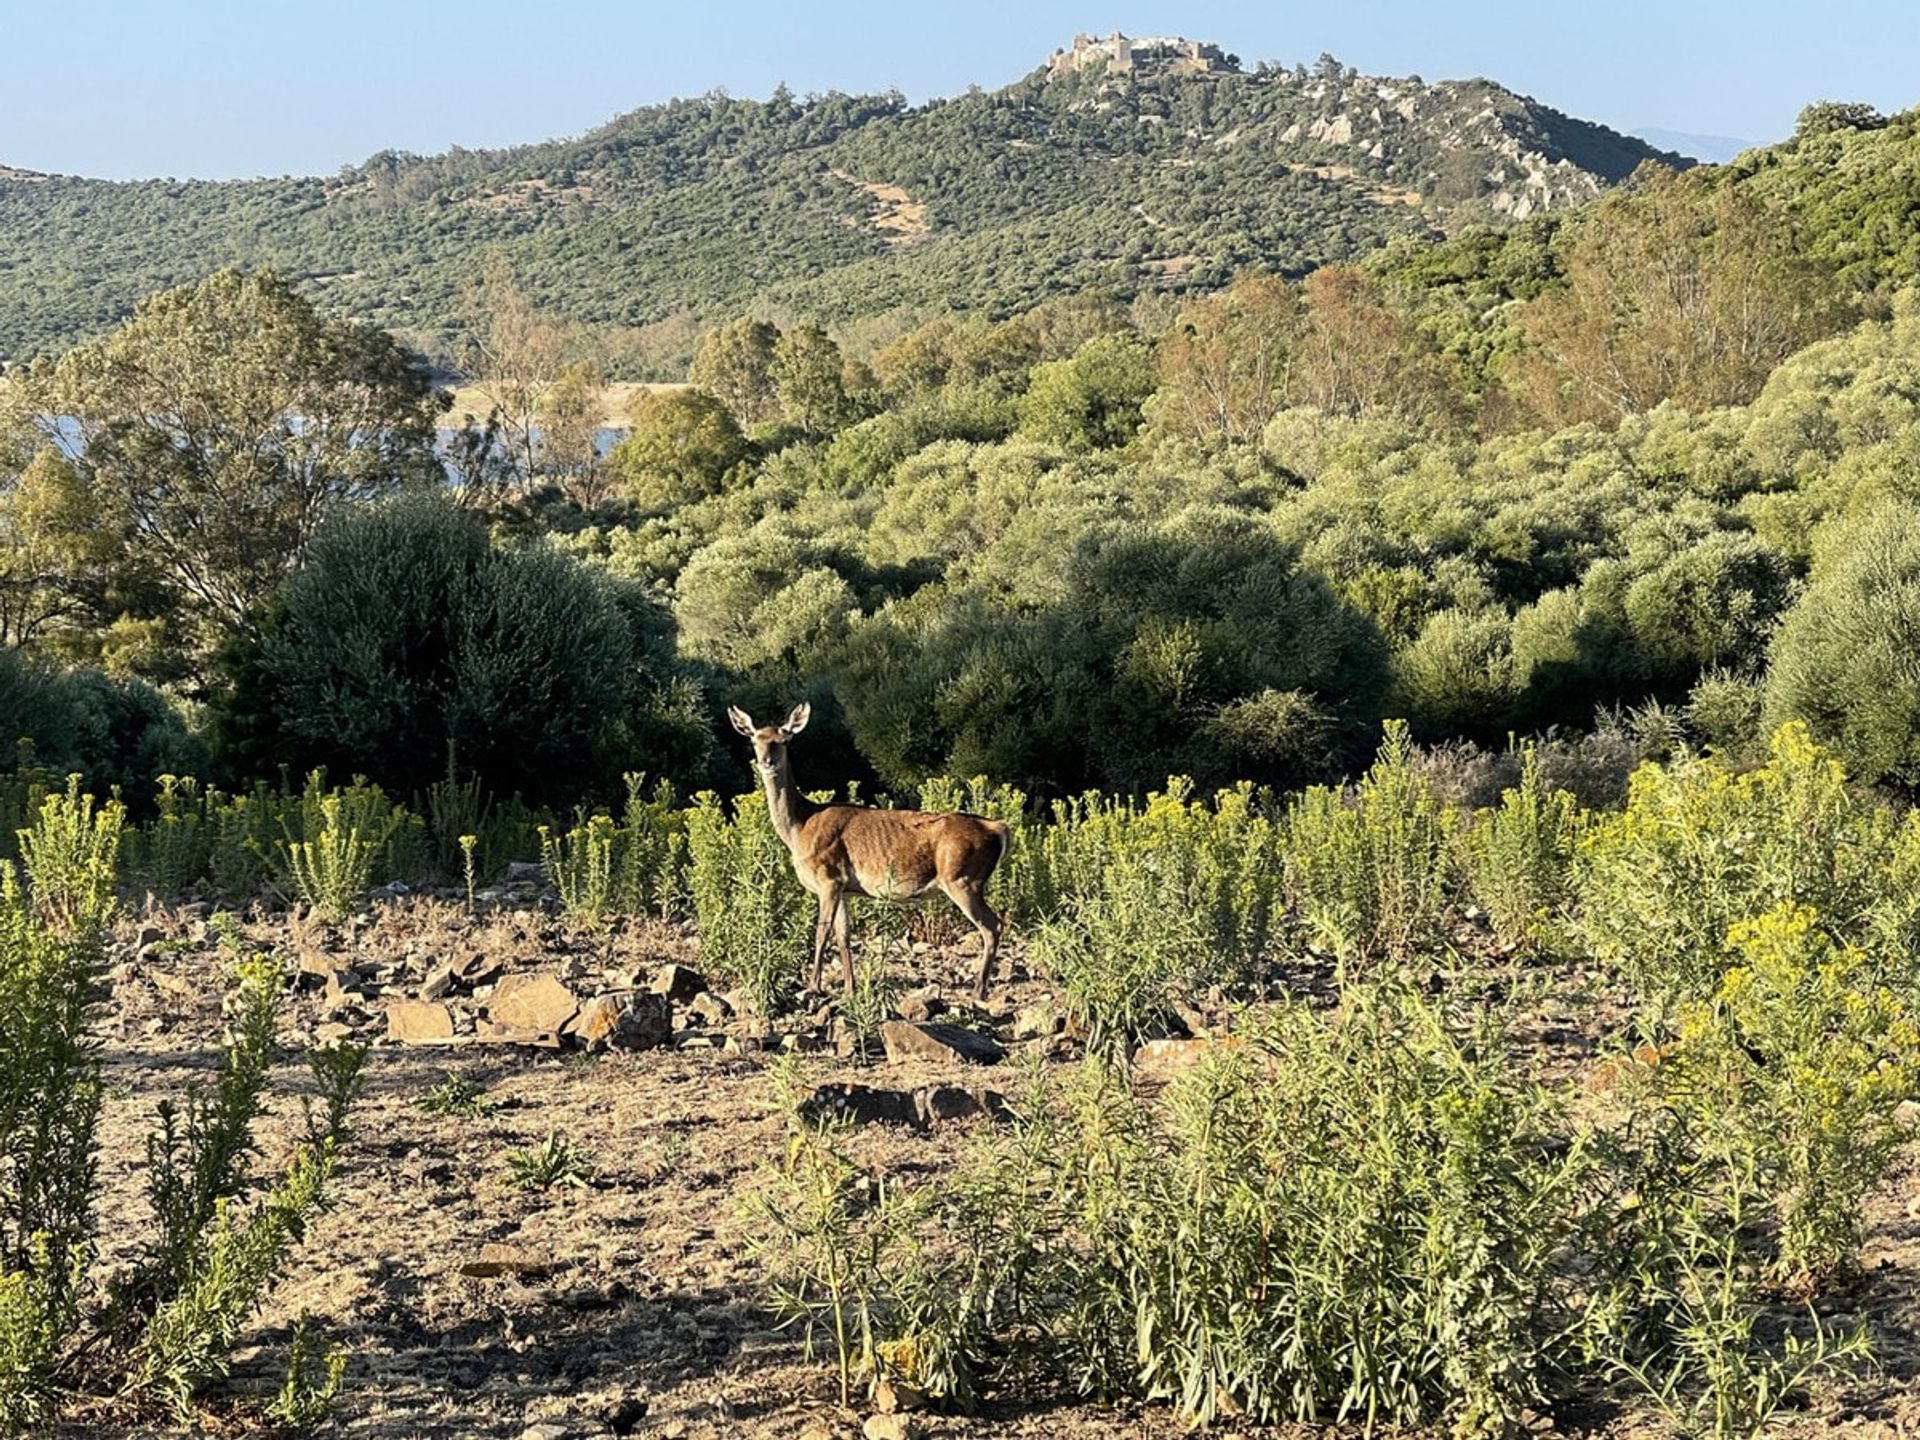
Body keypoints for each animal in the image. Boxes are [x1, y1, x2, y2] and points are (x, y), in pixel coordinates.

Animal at [725, 702, 1013, 1006]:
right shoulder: (844, 887)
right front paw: (850, 989)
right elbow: (843, 936)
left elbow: (821, 932)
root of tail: (999, 828)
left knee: (992, 926)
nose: (766, 761)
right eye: (754, 739)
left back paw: (978, 990)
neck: (799, 827)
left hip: (962, 878)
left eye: (784, 740)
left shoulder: (829, 876)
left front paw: (813, 986)